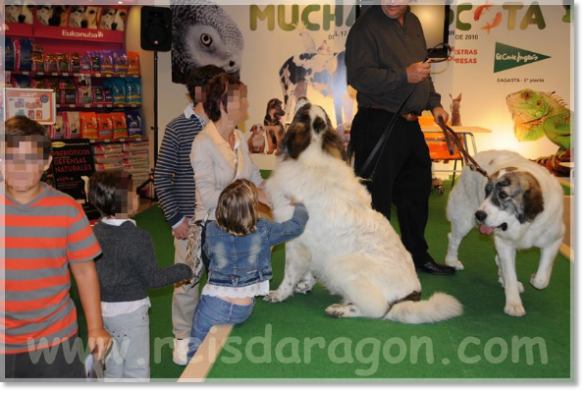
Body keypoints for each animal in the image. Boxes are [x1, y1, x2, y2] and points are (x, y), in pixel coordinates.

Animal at [262, 102, 464, 324]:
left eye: (302, 111)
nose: (304, 100)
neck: (314, 153)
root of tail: (410, 296)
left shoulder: (296, 242)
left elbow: (289, 273)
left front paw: (278, 294)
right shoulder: (310, 246)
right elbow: (308, 269)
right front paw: (305, 285)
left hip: (340, 265)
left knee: (378, 310)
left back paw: (340, 310)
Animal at [444, 149, 564, 316]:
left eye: (503, 195)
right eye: (486, 192)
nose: (479, 215)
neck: (524, 223)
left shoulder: (553, 240)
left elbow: (542, 279)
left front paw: (534, 279)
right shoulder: (505, 244)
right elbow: (510, 274)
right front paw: (513, 304)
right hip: (463, 220)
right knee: (454, 238)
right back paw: (451, 261)